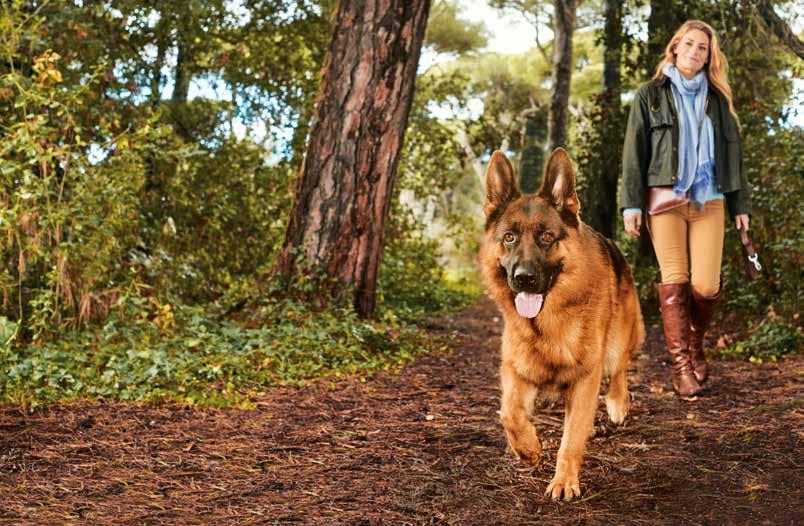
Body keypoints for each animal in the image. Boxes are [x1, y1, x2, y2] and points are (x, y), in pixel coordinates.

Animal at [480, 148, 644, 504]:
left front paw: (564, 480)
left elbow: (570, 440)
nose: (523, 278)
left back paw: (616, 404)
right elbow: (509, 413)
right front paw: (528, 448)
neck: (547, 324)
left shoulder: (586, 377)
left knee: (619, 369)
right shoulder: (515, 368)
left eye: (546, 237)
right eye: (509, 237)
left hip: (618, 340)